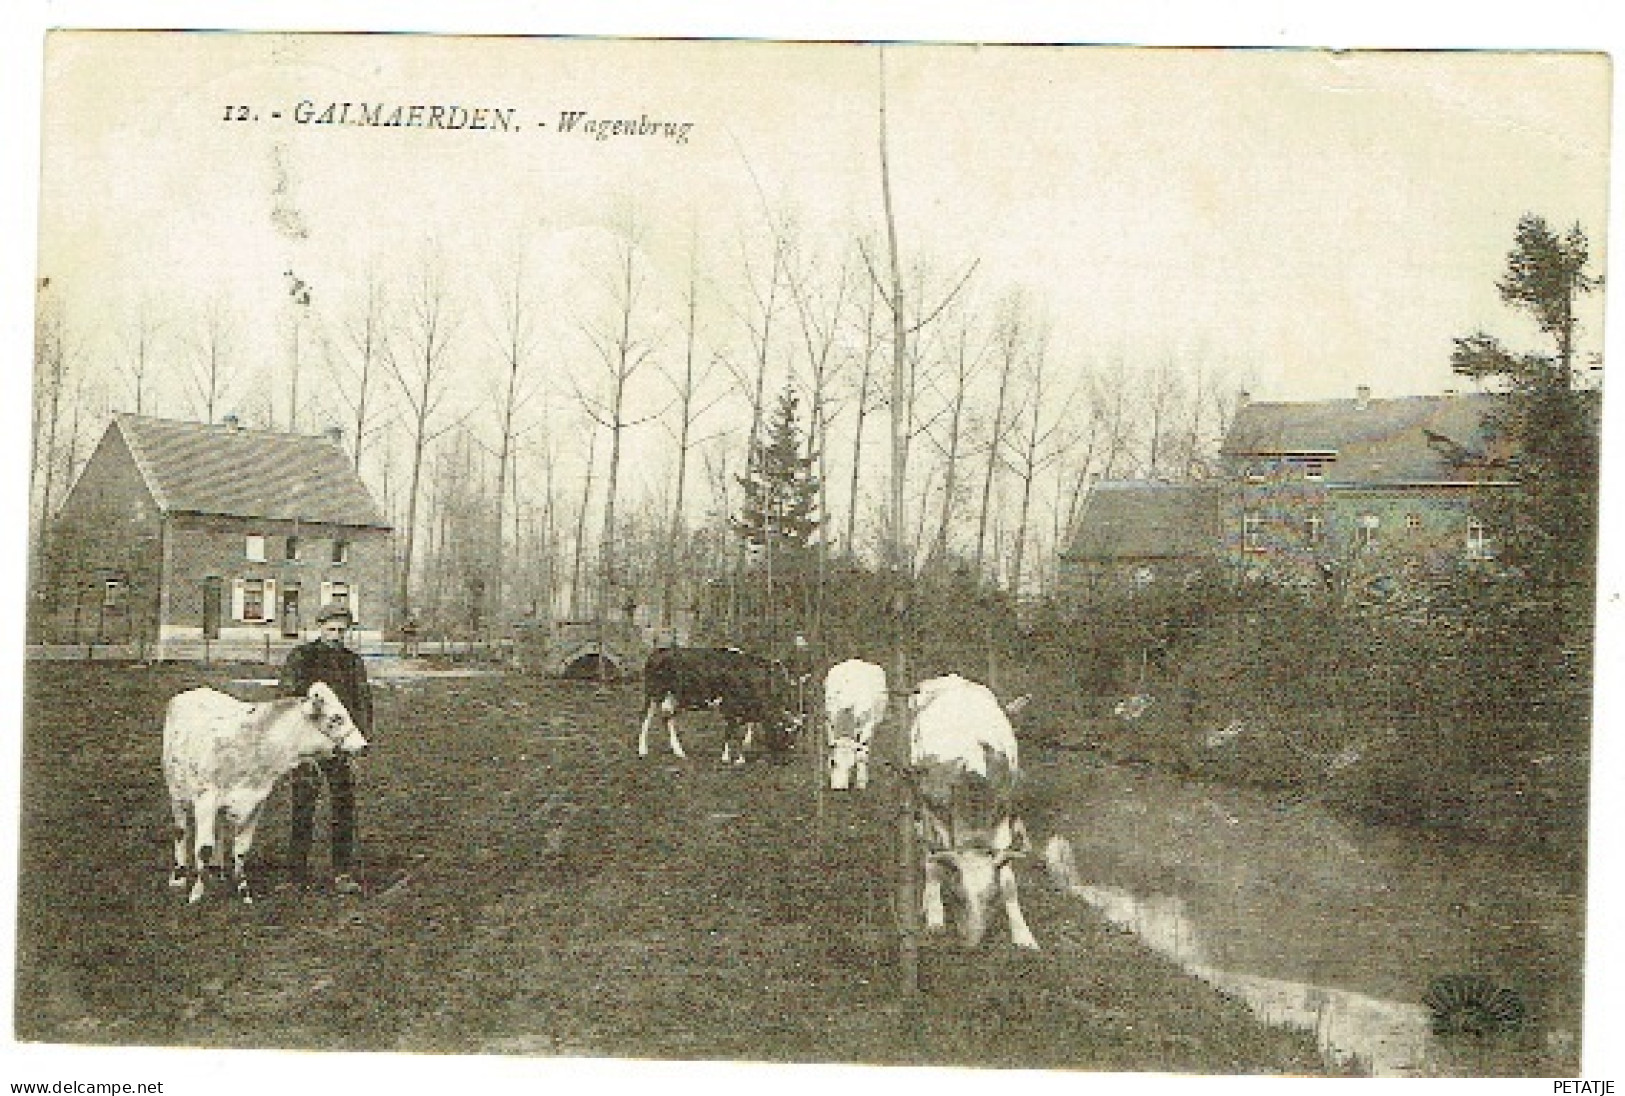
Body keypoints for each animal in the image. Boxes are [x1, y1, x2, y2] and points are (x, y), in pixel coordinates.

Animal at [162, 682, 368, 904]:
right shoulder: (205, 799)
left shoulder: (256, 801)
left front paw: (244, 892)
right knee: (180, 830)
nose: (364, 745)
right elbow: (203, 849)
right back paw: (178, 876)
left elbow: (241, 850)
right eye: (336, 717)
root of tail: (194, 691)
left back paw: (217, 870)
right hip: (176, 789)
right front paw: (196, 894)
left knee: (219, 827)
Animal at [643, 643, 802, 764]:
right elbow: (730, 731)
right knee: (646, 718)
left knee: (667, 719)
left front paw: (742, 753)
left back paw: (679, 752)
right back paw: (643, 750)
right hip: (653, 693)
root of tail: (658, 651)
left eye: (793, 740)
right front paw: (728, 758)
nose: (786, 759)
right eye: (784, 735)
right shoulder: (728, 706)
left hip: (674, 699)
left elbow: (745, 728)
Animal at [825, 656, 890, 787]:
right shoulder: (830, 722)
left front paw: (861, 783)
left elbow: (861, 755)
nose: (839, 788)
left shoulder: (867, 725)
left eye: (851, 766)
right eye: (834, 762)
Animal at [910, 669, 1033, 943]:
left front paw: (1023, 934)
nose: (972, 943)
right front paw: (935, 916)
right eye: (956, 895)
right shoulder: (939, 816)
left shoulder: (1001, 819)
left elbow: (1009, 881)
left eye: (992, 897)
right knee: (928, 851)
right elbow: (937, 861)